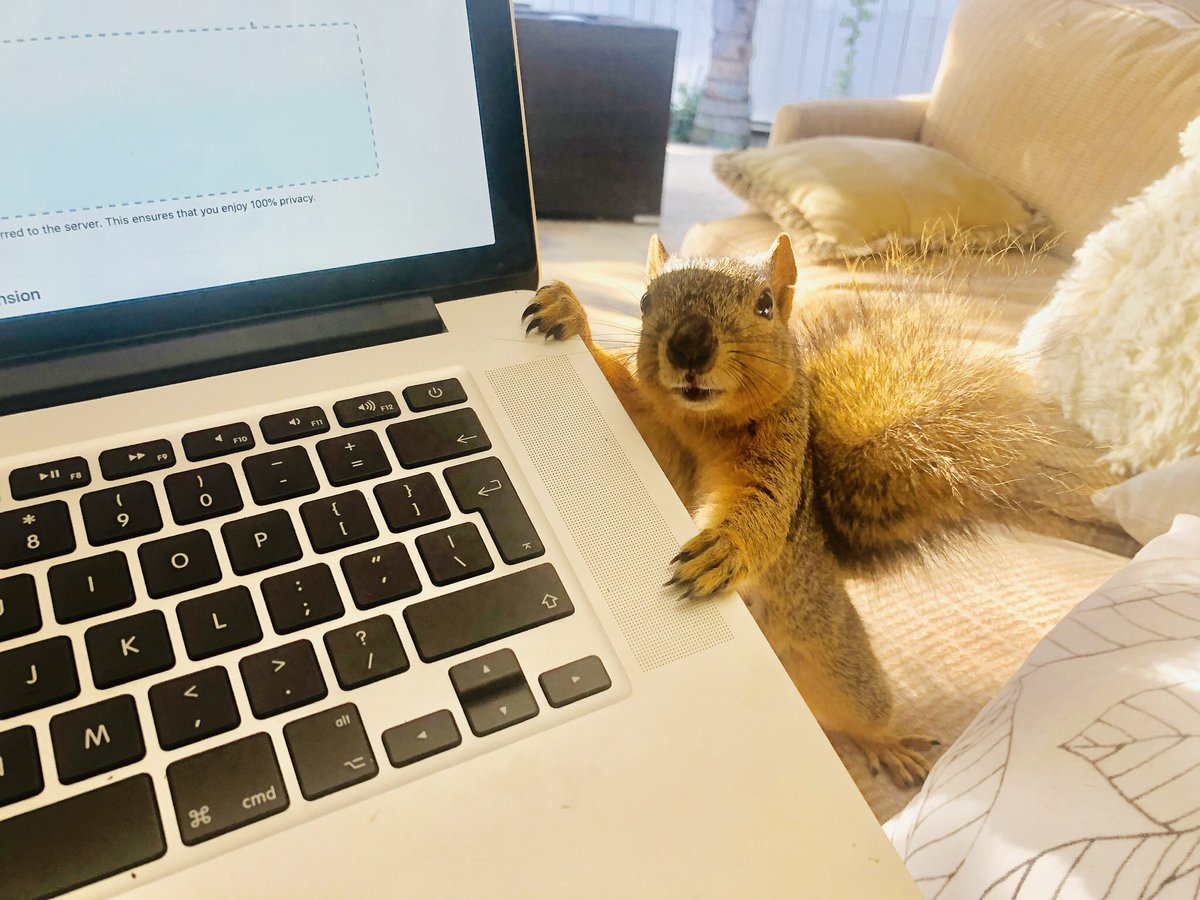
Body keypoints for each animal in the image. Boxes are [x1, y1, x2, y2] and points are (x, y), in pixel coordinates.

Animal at [523, 233, 1105, 788]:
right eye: (644, 302)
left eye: (764, 305)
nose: (689, 343)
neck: (703, 423)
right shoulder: (650, 430)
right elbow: (616, 389)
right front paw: (566, 311)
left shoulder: (779, 462)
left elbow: (762, 510)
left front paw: (724, 550)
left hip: (839, 663)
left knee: (858, 711)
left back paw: (887, 745)